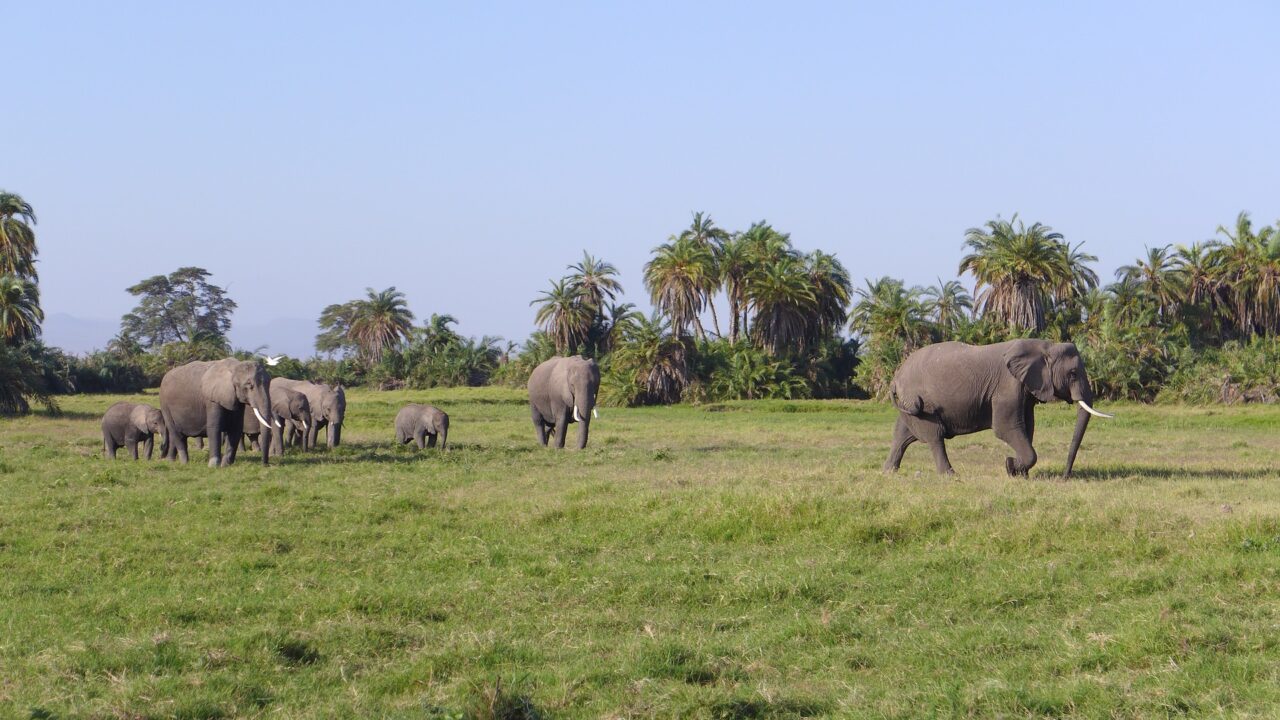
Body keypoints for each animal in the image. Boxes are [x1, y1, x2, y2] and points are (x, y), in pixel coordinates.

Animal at [880, 338, 1111, 476]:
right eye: (1072, 373)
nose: (1064, 477)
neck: (1043, 346)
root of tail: (895, 378)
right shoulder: (1007, 386)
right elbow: (1005, 427)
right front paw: (1010, 466)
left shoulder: (1025, 389)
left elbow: (1028, 426)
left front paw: (1020, 473)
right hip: (918, 401)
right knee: (935, 436)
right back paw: (951, 475)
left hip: (907, 403)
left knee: (901, 434)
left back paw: (889, 472)